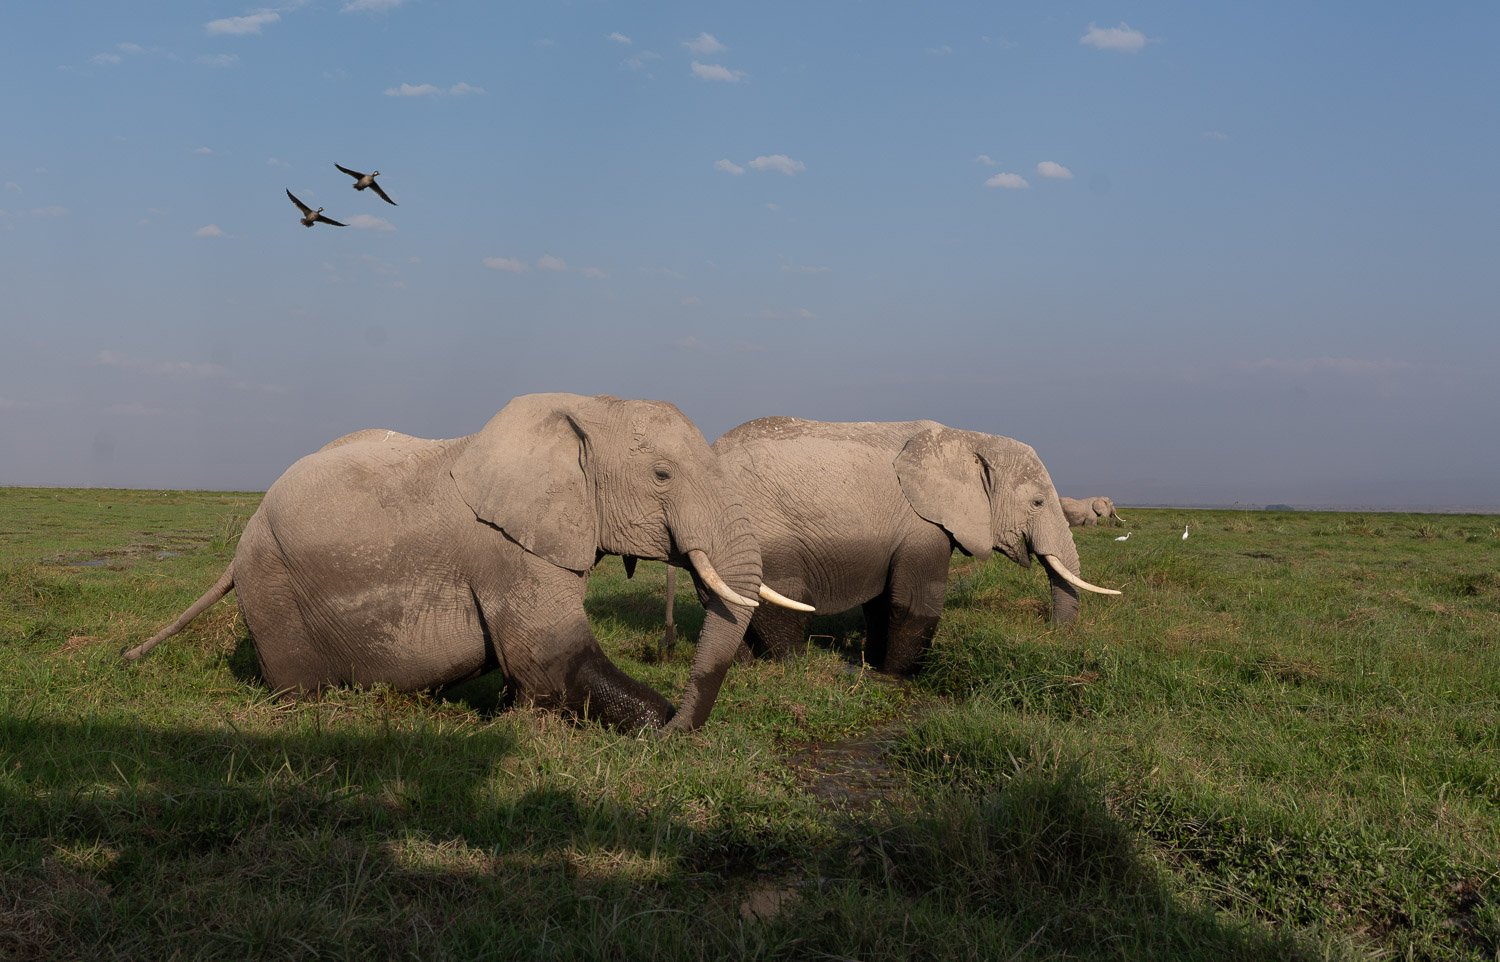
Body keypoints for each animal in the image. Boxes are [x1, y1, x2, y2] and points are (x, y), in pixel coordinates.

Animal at [123, 393, 812, 733]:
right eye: (663, 476)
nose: (680, 729)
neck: (589, 409)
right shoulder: (506, 549)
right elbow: (551, 651)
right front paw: (653, 726)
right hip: (273, 587)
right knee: (298, 689)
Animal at [661, 418, 1120, 676]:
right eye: (1038, 503)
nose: (1053, 633)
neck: (966, 438)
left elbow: (884, 603)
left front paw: (877, 666)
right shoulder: (922, 524)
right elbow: (914, 603)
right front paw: (902, 677)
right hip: (761, 529)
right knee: (776, 597)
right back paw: (790, 668)